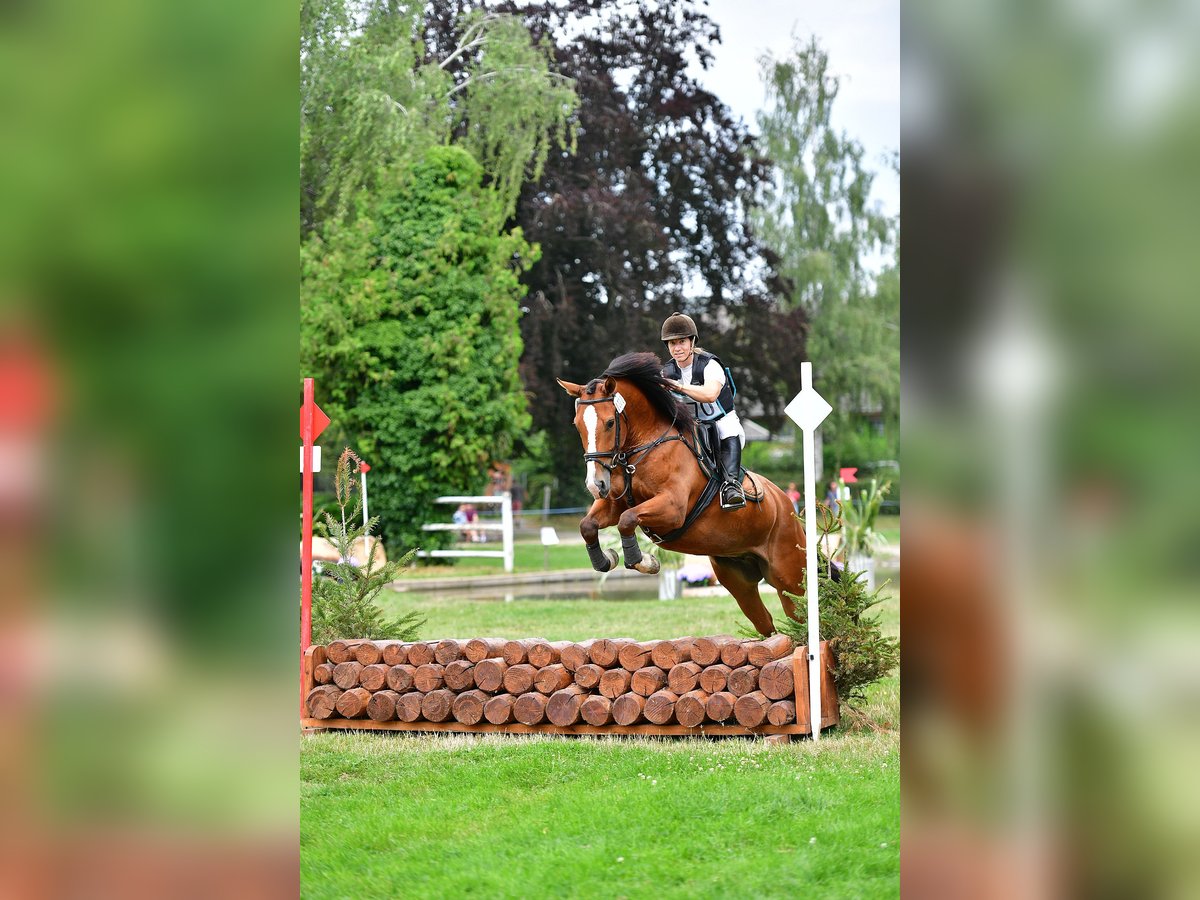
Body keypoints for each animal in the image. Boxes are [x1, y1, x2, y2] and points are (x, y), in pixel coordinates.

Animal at [559, 348, 806, 638]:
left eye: (610, 423)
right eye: (577, 424)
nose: (595, 484)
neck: (643, 447)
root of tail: (787, 504)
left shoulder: (672, 508)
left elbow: (627, 520)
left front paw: (644, 561)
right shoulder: (614, 504)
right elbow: (588, 525)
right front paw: (607, 559)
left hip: (788, 574)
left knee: (800, 611)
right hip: (737, 576)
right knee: (765, 621)